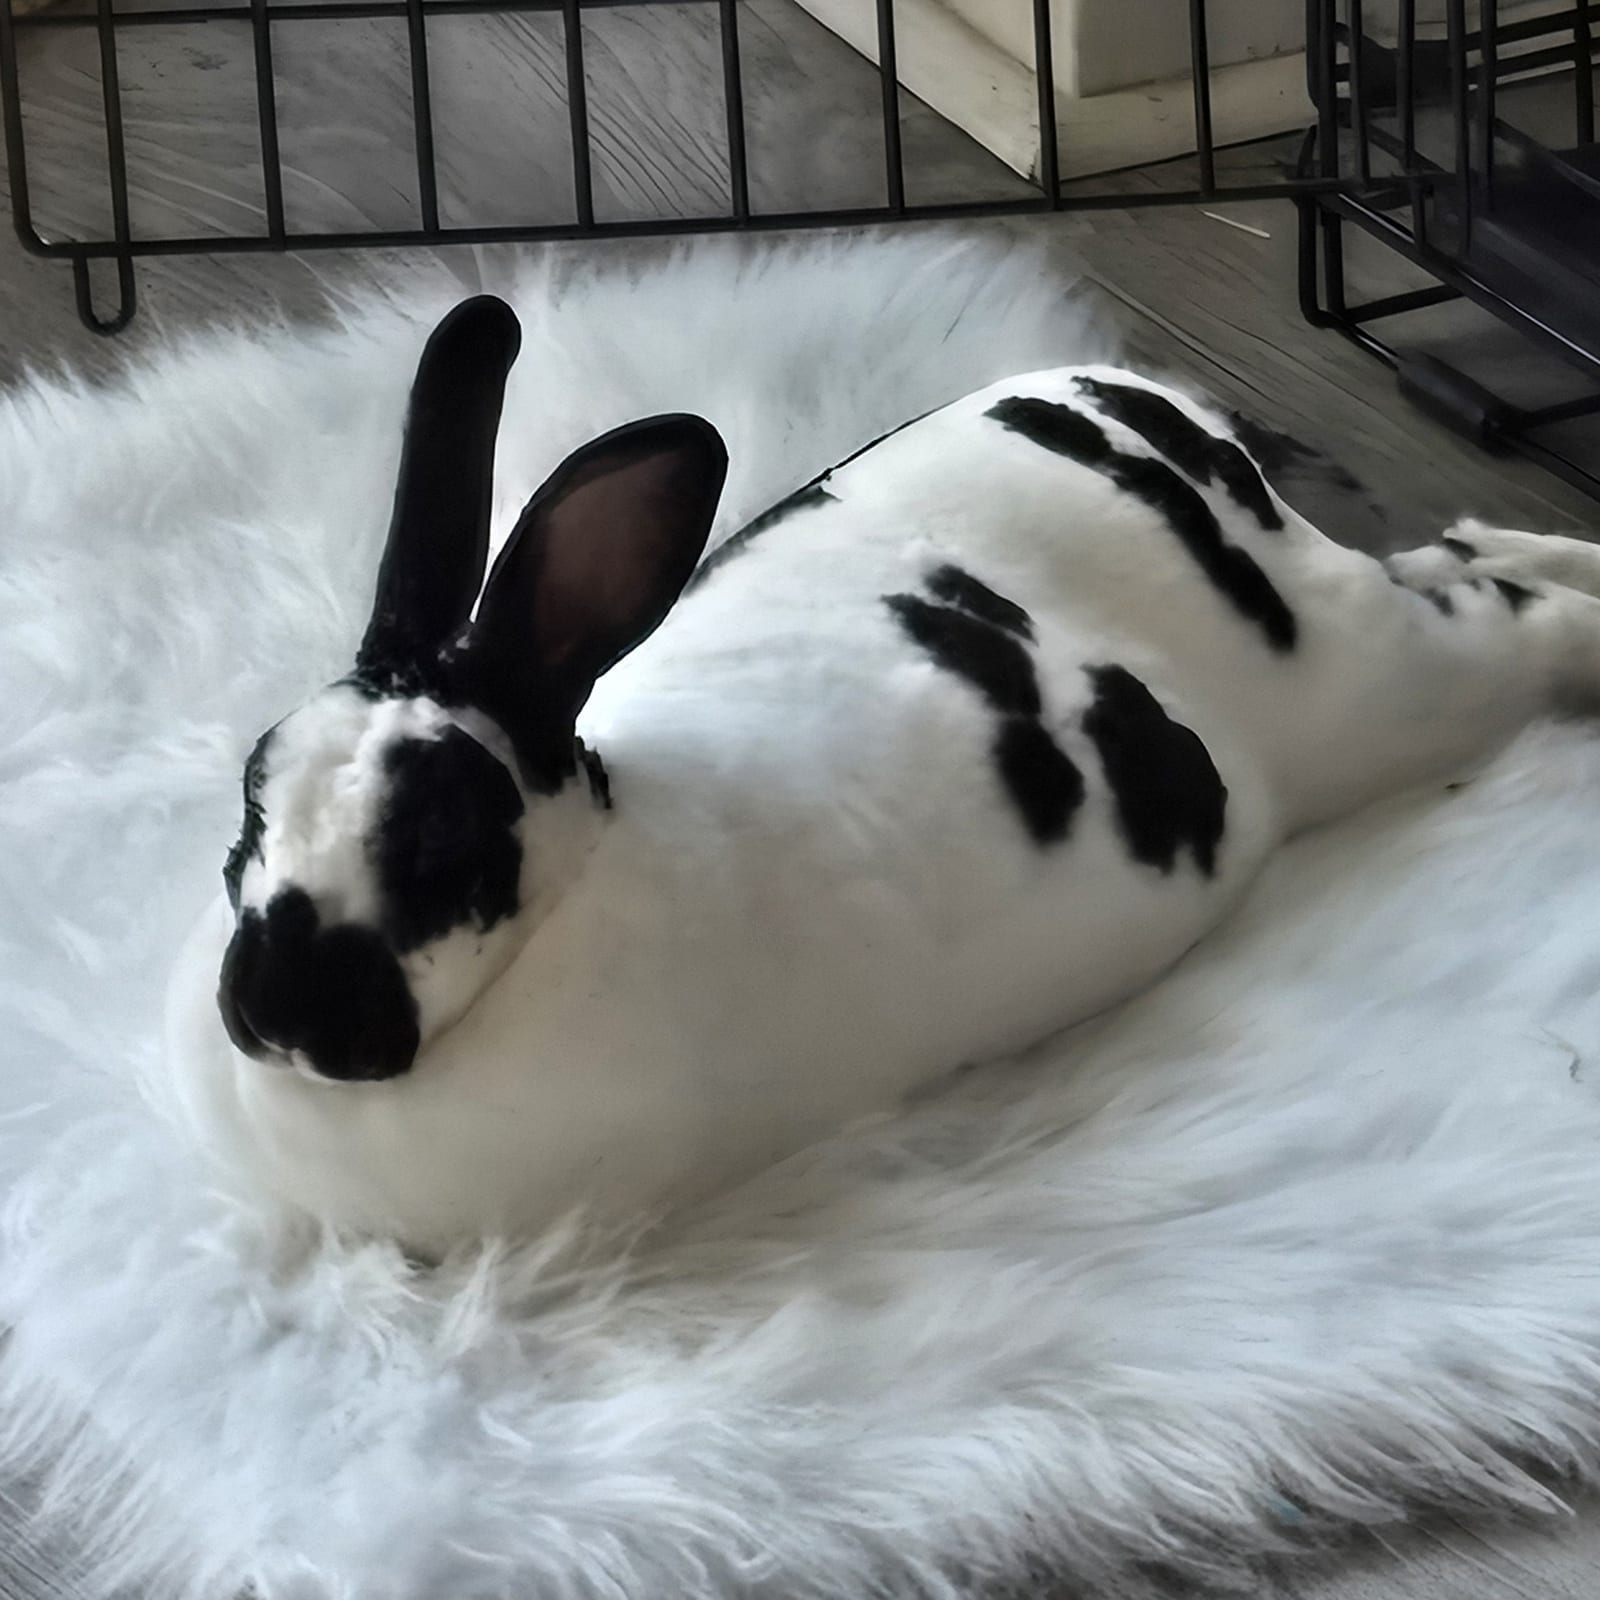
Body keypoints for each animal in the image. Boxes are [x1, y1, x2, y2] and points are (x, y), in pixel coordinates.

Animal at [163, 294, 1600, 1252]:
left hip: (1376, 685)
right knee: (1469, 549)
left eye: (445, 835)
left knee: (1504, 616)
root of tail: (1172, 424)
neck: (582, 884)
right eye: (251, 797)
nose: (278, 1007)